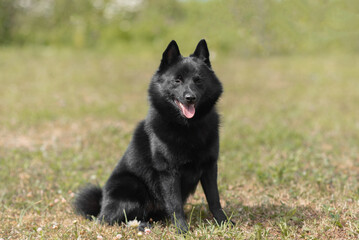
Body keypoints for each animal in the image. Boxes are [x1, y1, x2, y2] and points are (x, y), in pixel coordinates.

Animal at [75, 39, 233, 232]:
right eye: (177, 80)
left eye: (198, 80)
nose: (190, 97)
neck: (188, 127)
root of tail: (101, 204)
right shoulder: (169, 171)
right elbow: (175, 204)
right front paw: (182, 230)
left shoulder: (210, 166)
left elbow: (214, 199)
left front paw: (224, 222)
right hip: (131, 185)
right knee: (113, 219)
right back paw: (140, 225)